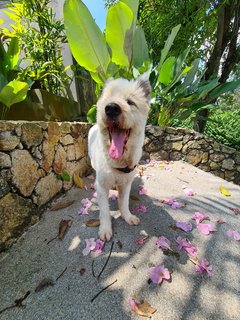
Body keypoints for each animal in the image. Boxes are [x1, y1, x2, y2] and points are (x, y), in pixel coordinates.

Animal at [88, 75, 151, 240]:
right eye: (108, 100)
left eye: (130, 102)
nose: (111, 108)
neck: (119, 163)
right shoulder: (102, 186)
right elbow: (104, 210)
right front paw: (105, 229)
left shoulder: (126, 183)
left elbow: (124, 203)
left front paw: (127, 217)